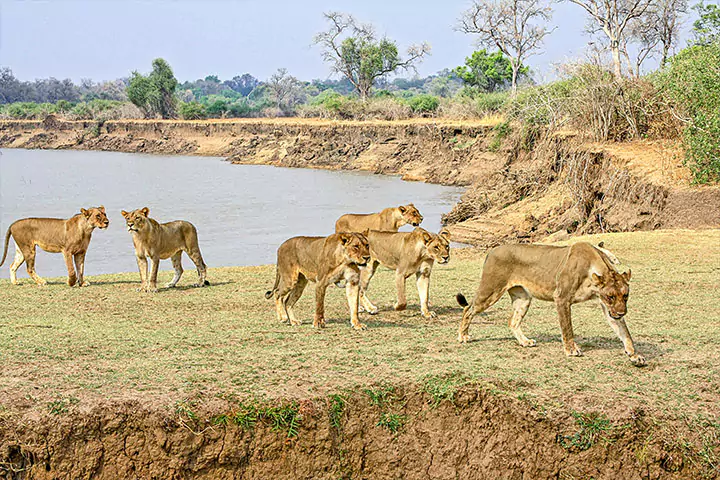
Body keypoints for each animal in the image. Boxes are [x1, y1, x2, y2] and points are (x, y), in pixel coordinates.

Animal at [458, 242, 644, 366]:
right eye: (610, 296)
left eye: (625, 296)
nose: (621, 313)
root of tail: (492, 250)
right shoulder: (561, 298)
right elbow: (567, 328)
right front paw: (571, 350)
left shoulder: (608, 309)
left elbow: (624, 332)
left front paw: (634, 355)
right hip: (491, 290)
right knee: (468, 308)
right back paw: (463, 336)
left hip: (523, 298)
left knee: (513, 321)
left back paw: (524, 341)